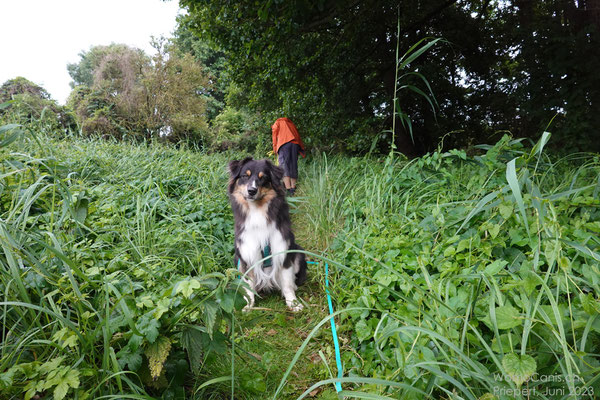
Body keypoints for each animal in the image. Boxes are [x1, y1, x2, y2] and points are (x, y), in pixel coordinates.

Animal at [227, 158, 308, 310]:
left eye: (263, 178)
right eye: (245, 176)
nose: (251, 191)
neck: (257, 210)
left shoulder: (282, 249)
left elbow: (287, 282)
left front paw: (293, 303)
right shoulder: (247, 253)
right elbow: (248, 285)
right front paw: (248, 304)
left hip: (298, 252)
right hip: (237, 258)